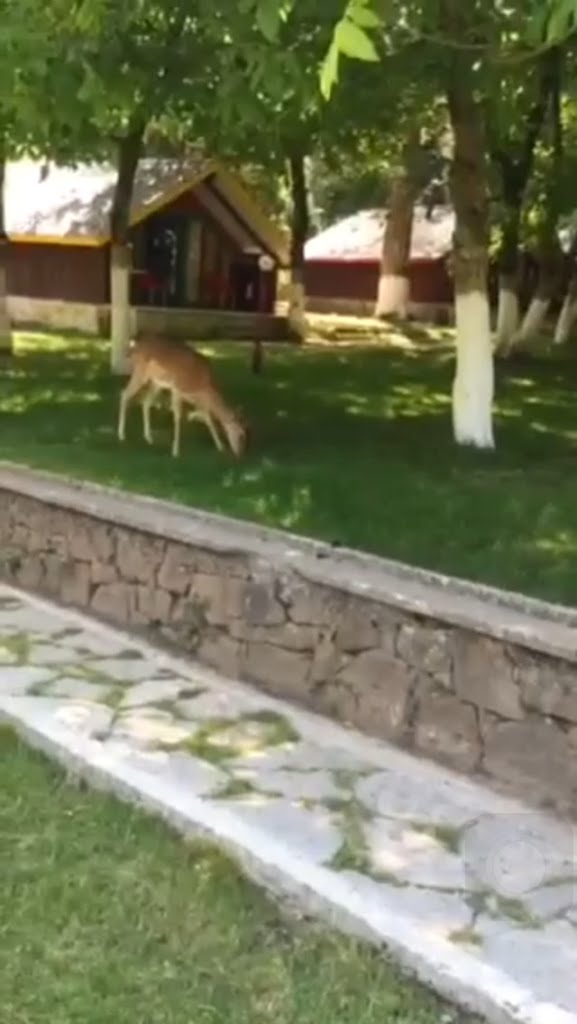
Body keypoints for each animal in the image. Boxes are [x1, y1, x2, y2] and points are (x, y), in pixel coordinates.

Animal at [117, 337, 248, 458]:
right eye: (241, 434)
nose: (240, 453)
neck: (203, 385)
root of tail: (133, 348)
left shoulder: (195, 397)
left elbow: (207, 417)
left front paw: (220, 446)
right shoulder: (178, 388)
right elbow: (178, 416)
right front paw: (175, 451)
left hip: (156, 383)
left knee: (146, 402)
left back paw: (148, 437)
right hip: (141, 373)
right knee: (125, 394)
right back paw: (121, 435)